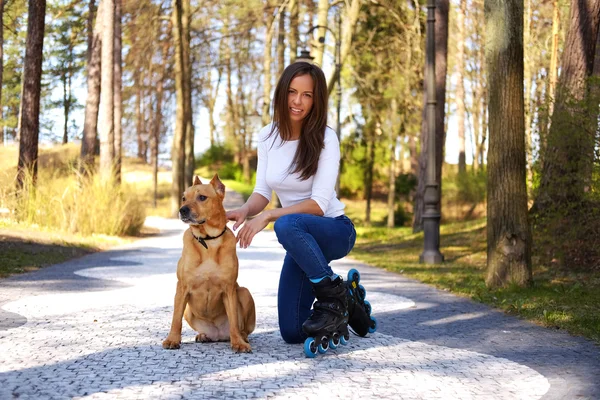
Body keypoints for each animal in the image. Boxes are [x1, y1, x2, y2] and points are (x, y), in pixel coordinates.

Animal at [163, 173, 254, 352]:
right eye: (184, 198)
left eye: (202, 197)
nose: (182, 210)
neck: (208, 241)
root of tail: (218, 334)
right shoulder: (182, 288)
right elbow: (175, 319)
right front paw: (172, 339)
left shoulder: (229, 289)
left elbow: (234, 320)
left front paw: (238, 343)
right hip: (188, 310)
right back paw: (203, 335)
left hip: (244, 293)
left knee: (242, 328)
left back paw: (241, 337)